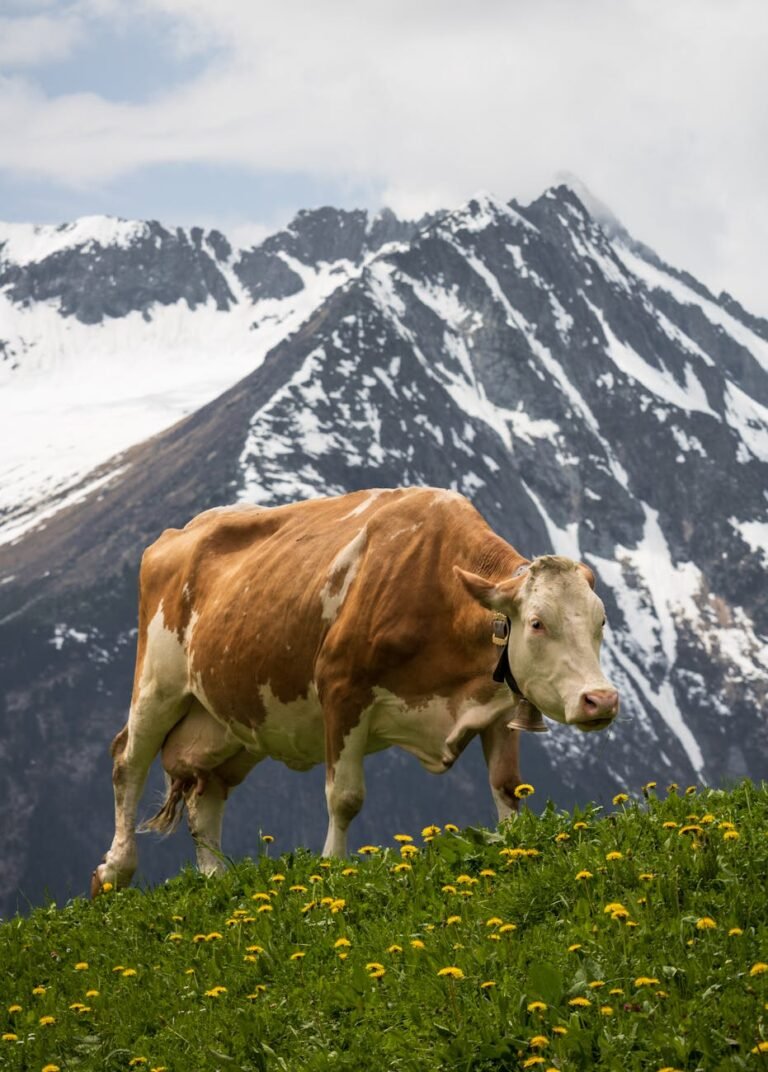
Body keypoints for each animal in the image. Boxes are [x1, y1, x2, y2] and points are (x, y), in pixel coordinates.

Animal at [91, 484, 617, 887]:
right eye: (537, 623)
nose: (602, 699)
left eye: (601, 621)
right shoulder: (342, 690)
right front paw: (332, 866)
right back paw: (115, 871)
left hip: (229, 723)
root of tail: (177, 534)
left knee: (204, 796)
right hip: (157, 686)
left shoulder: (497, 704)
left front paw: (513, 848)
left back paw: (215, 878)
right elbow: (344, 797)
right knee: (127, 762)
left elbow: (507, 787)